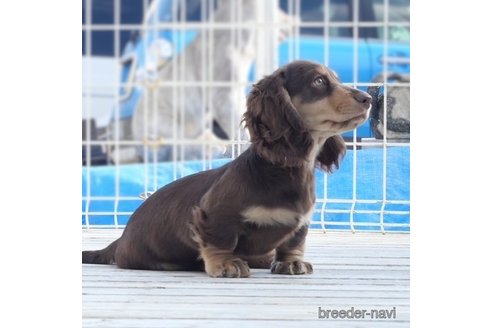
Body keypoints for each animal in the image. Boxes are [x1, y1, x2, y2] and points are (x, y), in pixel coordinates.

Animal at [82, 60, 370, 276]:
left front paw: (291, 262)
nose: (368, 98)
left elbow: (294, 241)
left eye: (335, 78)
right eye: (319, 82)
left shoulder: (301, 222)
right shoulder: (215, 214)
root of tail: (120, 240)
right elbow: (220, 240)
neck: (285, 169)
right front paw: (225, 264)